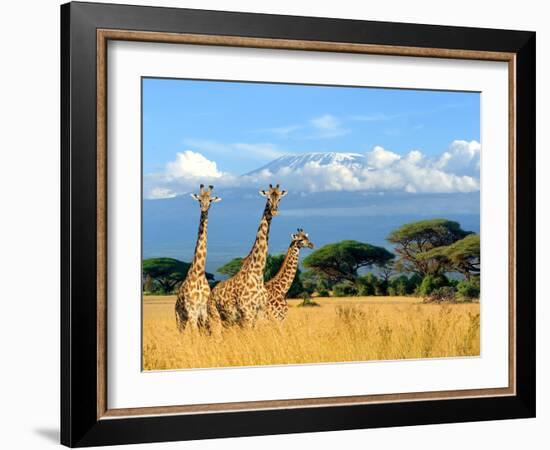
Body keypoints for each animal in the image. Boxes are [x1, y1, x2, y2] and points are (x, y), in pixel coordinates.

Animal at [175, 183, 222, 330]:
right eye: (199, 200)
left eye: (210, 200)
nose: (204, 208)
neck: (199, 274)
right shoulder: (192, 312)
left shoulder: (204, 311)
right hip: (179, 318)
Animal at [209, 185, 288, 328]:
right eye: (268, 198)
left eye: (279, 199)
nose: (274, 211)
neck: (257, 273)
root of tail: (211, 294)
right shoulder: (247, 313)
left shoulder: (260, 313)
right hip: (215, 317)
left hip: (228, 321)